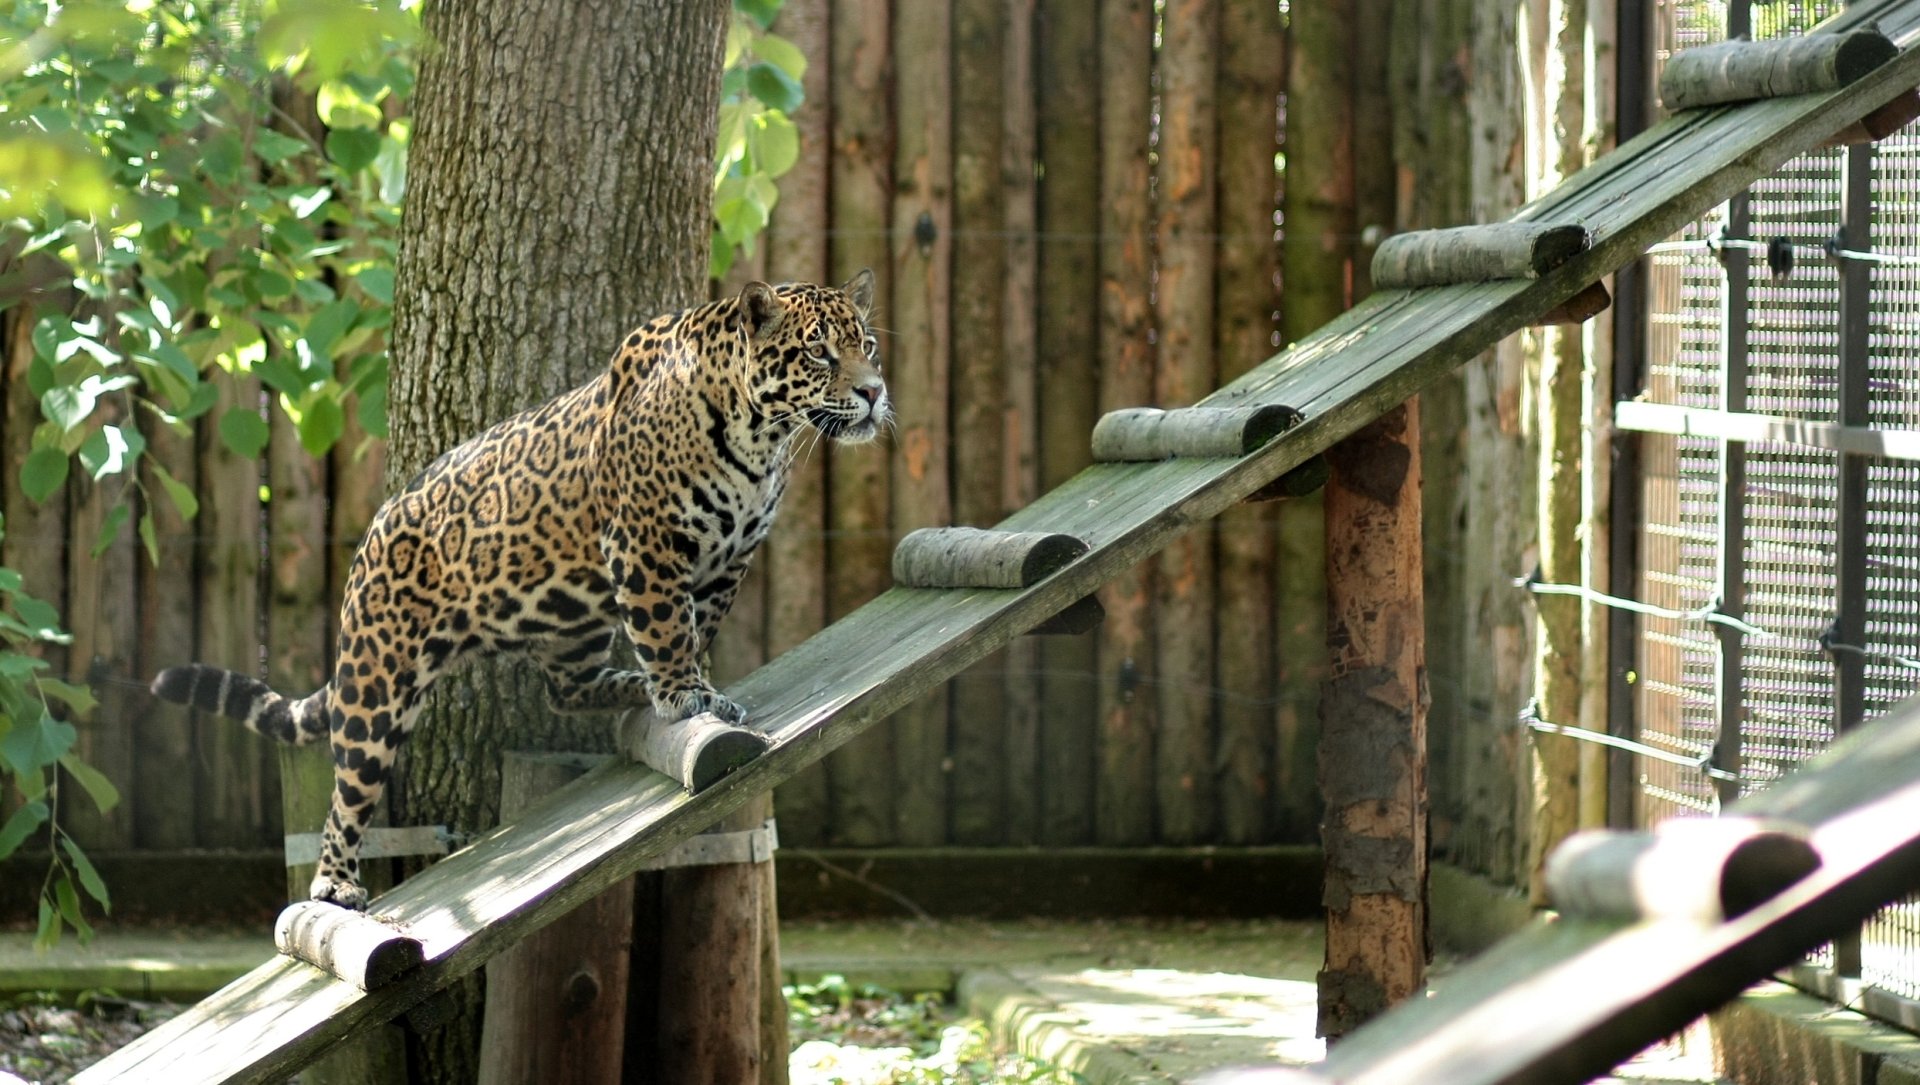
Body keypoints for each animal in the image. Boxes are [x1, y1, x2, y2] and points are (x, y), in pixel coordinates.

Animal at [151, 271, 888, 910]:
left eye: (869, 346)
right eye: (818, 352)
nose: (876, 392)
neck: (762, 438)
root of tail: (370, 538)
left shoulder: (728, 563)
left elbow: (694, 628)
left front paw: (692, 689)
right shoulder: (644, 544)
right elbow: (667, 627)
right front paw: (685, 697)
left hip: (574, 621)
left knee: (564, 688)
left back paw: (627, 686)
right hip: (378, 681)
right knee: (347, 789)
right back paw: (334, 884)